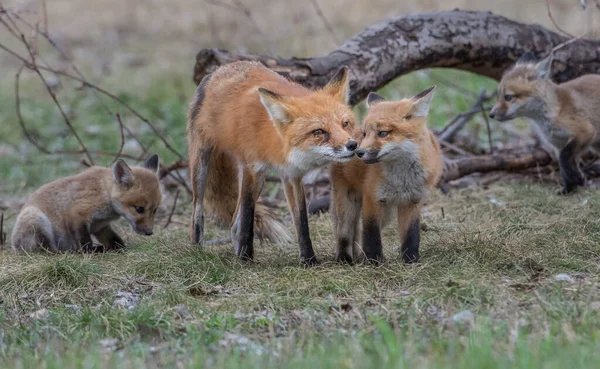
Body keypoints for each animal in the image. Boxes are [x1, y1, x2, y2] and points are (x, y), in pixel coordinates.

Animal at [11, 153, 162, 253]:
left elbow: (115, 240)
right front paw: (89, 253)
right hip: (36, 219)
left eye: (155, 210)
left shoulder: (99, 225)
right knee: (48, 251)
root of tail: (15, 246)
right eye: (139, 209)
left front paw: (117, 248)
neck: (105, 193)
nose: (150, 232)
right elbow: (85, 242)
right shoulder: (76, 215)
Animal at [188, 61, 356, 264]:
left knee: (234, 222)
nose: (352, 145)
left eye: (345, 124)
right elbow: (247, 218)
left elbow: (301, 221)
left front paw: (309, 260)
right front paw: (246, 259)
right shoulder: (251, 169)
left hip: (259, 180)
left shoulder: (291, 175)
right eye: (319, 132)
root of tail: (218, 70)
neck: (274, 136)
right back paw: (198, 250)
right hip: (202, 163)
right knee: (198, 212)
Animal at [328, 86, 440, 264]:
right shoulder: (372, 198)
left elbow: (411, 236)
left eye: (382, 133)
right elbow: (371, 234)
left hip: (386, 214)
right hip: (348, 206)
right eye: (365, 134)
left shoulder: (412, 201)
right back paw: (345, 259)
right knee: (344, 234)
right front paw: (374, 261)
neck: (402, 178)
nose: (358, 152)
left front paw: (411, 261)